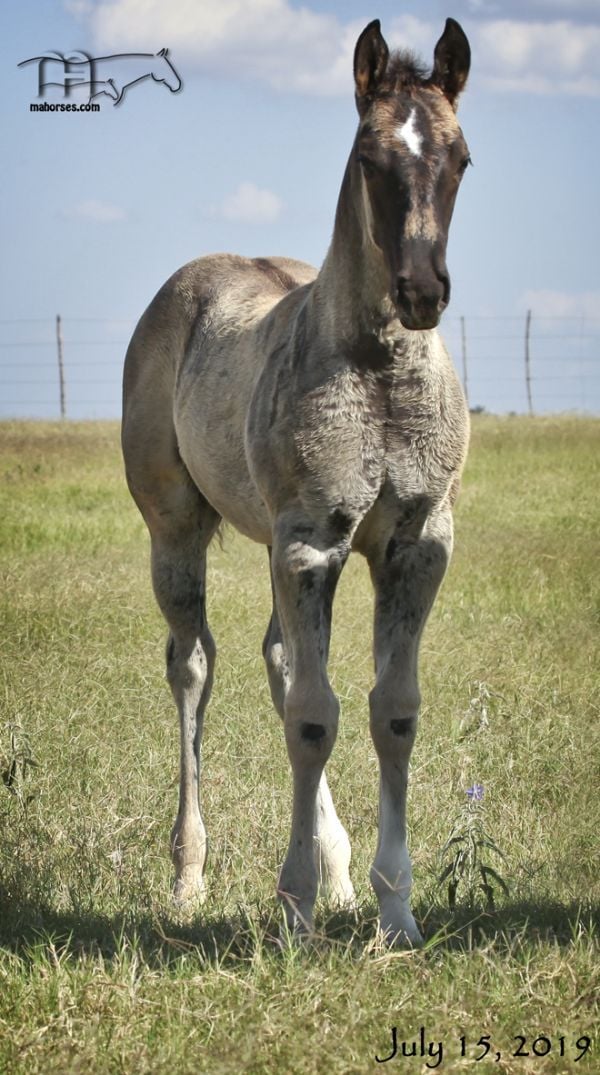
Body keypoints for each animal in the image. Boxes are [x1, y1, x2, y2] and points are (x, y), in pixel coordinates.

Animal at [120, 14, 475, 941]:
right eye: (370, 158)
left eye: (460, 158)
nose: (422, 291)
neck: (378, 374)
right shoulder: (312, 542)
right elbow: (316, 718)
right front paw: (297, 910)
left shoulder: (417, 544)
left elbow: (391, 709)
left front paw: (393, 910)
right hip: (177, 531)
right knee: (195, 666)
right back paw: (190, 876)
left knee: (281, 660)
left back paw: (339, 870)